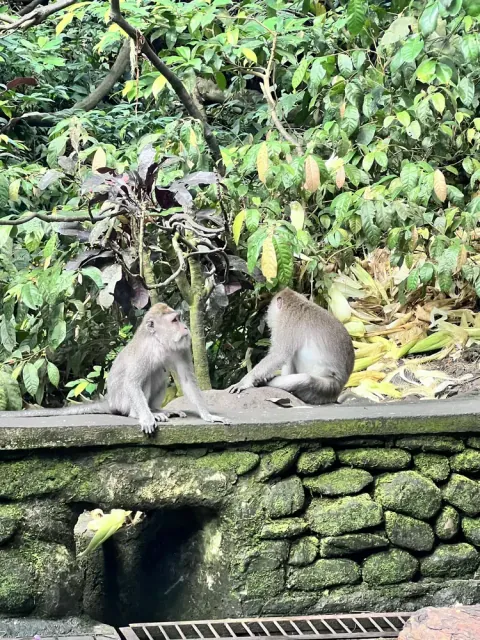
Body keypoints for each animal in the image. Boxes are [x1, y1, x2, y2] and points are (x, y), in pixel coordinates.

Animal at [1, 303, 231, 434]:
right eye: (175, 320)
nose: (185, 328)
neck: (159, 342)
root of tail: (111, 401)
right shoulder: (144, 351)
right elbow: (133, 382)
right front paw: (146, 418)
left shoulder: (180, 347)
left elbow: (186, 380)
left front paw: (209, 416)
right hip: (123, 402)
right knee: (148, 377)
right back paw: (142, 413)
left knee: (159, 374)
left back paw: (157, 409)